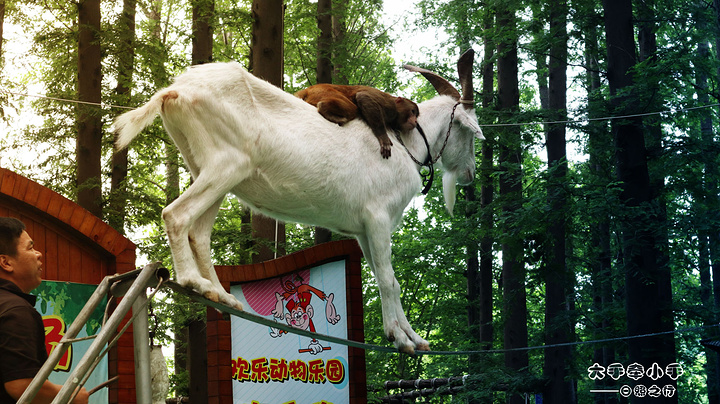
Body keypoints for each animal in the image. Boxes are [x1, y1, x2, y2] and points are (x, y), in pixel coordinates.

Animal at [114, 49, 484, 354]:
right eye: (470, 131)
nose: (469, 173)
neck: (406, 143)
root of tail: (174, 91)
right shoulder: (378, 219)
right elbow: (389, 279)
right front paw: (402, 339)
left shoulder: (363, 230)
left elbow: (384, 278)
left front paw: (412, 339)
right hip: (228, 165)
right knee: (176, 215)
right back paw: (193, 281)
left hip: (208, 169)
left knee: (199, 232)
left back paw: (219, 295)